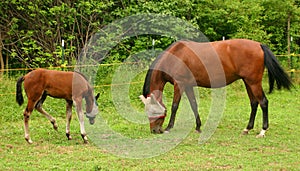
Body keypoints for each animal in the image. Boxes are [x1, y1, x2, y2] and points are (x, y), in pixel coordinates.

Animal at [141, 38, 292, 138]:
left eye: (152, 111)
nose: (154, 130)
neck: (175, 56)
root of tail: (259, 45)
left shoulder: (180, 84)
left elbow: (174, 106)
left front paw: (168, 127)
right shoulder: (188, 86)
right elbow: (194, 105)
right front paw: (198, 127)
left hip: (253, 82)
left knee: (263, 102)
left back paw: (262, 131)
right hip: (248, 82)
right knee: (254, 103)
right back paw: (247, 129)